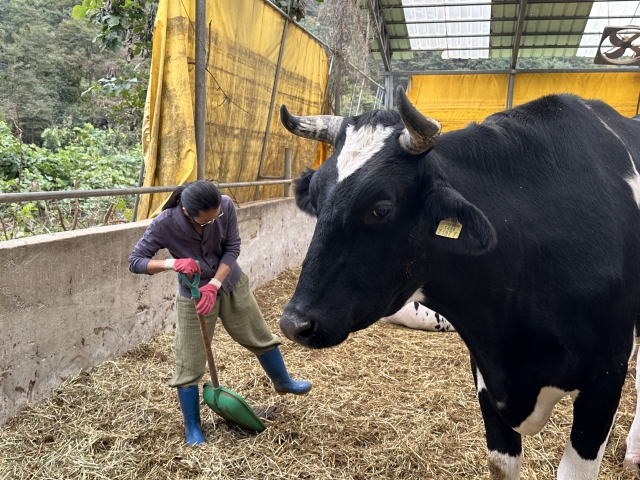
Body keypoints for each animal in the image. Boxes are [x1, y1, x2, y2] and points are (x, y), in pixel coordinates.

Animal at [280, 88, 640, 478]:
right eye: (316, 200)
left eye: (381, 207)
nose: (293, 323)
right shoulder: (485, 370)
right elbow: (500, 464)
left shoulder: (605, 379)